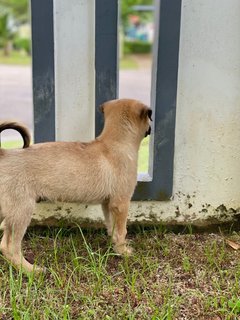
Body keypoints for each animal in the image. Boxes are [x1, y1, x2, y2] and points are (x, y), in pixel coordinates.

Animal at [0, 98, 152, 272]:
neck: (113, 144)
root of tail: (4, 154)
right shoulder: (120, 203)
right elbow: (121, 230)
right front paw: (123, 251)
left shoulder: (108, 204)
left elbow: (112, 228)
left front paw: (115, 248)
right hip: (21, 210)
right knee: (9, 246)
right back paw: (31, 270)